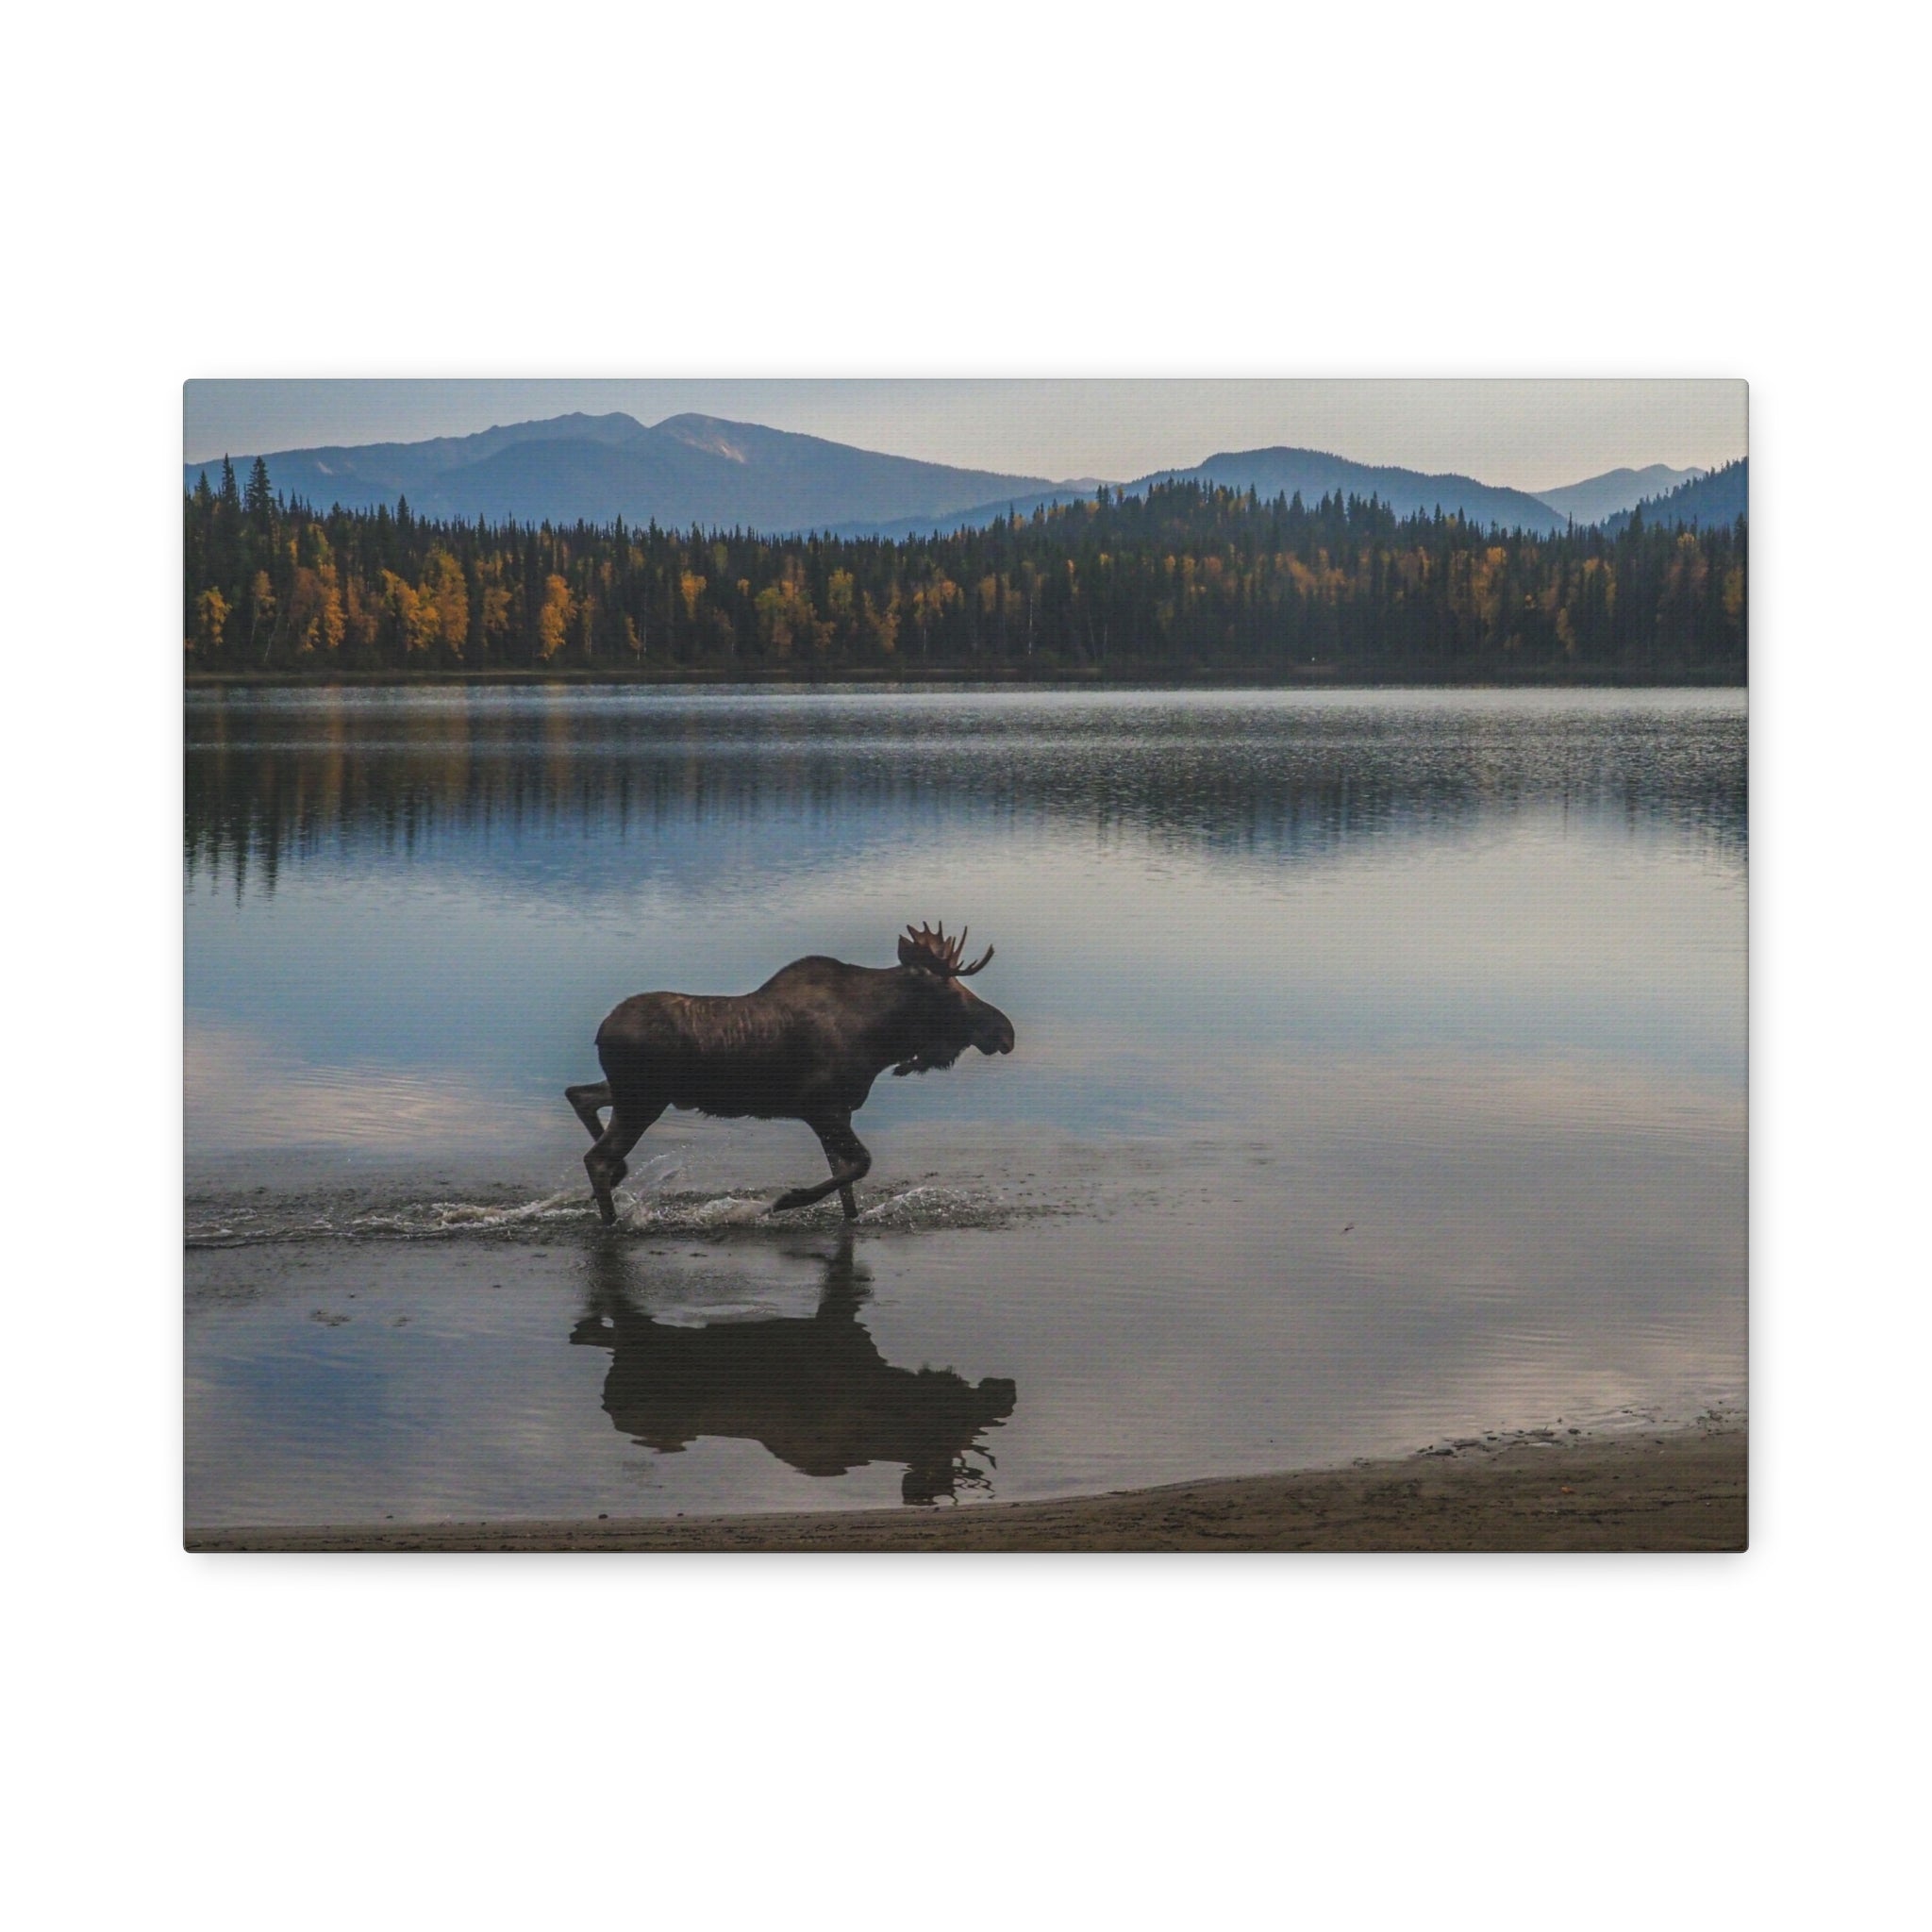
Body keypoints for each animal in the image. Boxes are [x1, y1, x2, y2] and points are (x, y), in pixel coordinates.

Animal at [566, 922, 1016, 1226]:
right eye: (948, 991)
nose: (1005, 1031)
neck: (880, 1039)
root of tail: (600, 1031)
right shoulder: (820, 1107)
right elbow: (861, 1164)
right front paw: (786, 1200)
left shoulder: (839, 1112)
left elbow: (847, 1183)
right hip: (642, 1100)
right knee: (597, 1158)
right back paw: (611, 1219)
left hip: (634, 1094)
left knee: (580, 1095)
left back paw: (620, 1179)